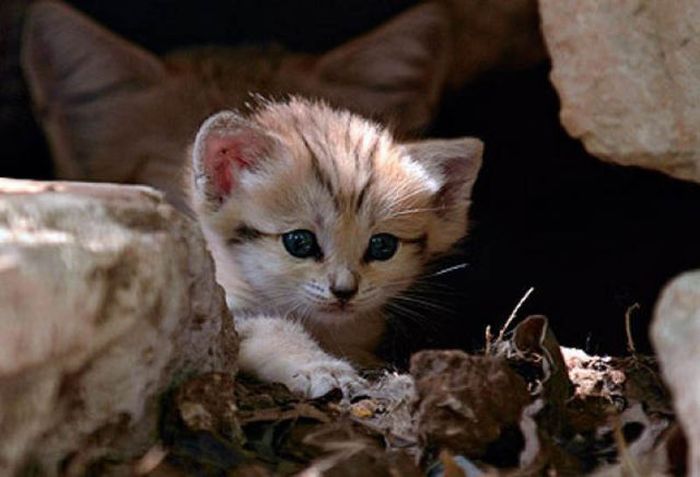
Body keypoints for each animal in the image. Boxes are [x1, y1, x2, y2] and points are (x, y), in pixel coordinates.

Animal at [191, 97, 482, 398]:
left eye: (382, 246)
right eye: (299, 242)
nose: (344, 290)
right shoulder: (226, 313)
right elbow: (271, 328)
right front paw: (320, 367)